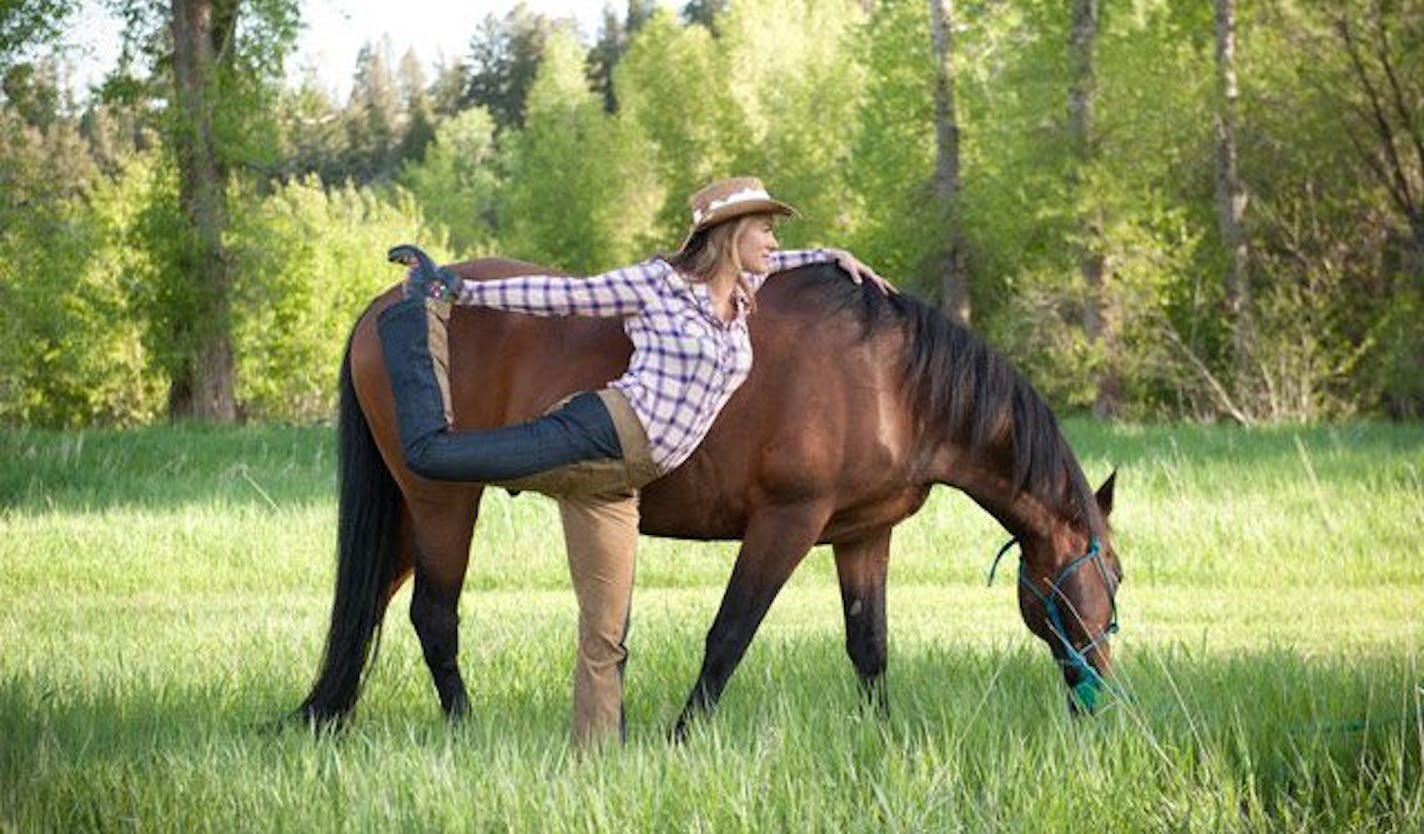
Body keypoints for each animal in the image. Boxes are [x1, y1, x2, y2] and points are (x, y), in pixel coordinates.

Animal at [297, 256, 1122, 728]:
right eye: (1110, 577)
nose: (1103, 698)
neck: (890, 381)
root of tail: (379, 309)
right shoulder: (787, 522)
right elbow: (730, 634)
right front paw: (681, 735)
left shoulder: (861, 534)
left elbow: (870, 646)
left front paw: (886, 737)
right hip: (443, 502)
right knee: (433, 617)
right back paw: (464, 728)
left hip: (409, 512)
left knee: (369, 608)